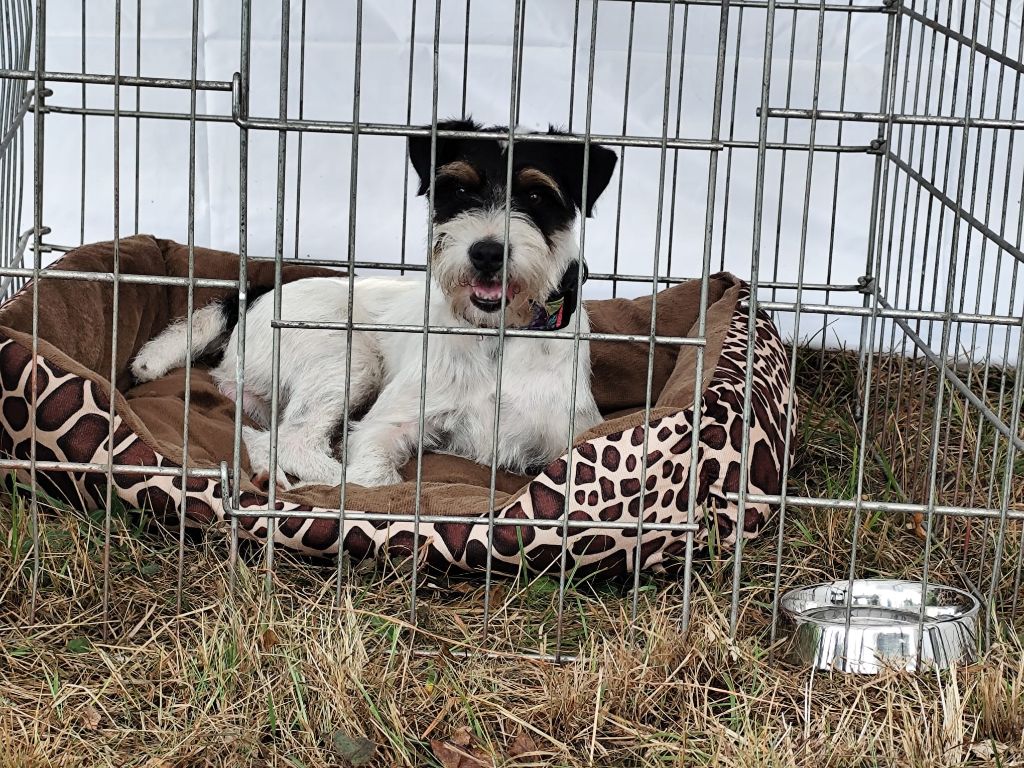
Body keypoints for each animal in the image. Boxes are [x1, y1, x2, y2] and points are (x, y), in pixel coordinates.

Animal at [132, 118, 618, 487]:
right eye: (459, 190)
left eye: (537, 194)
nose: (486, 253)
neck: (496, 336)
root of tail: (258, 295)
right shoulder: (384, 427)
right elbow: (374, 480)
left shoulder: (571, 435)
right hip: (349, 359)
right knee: (287, 442)